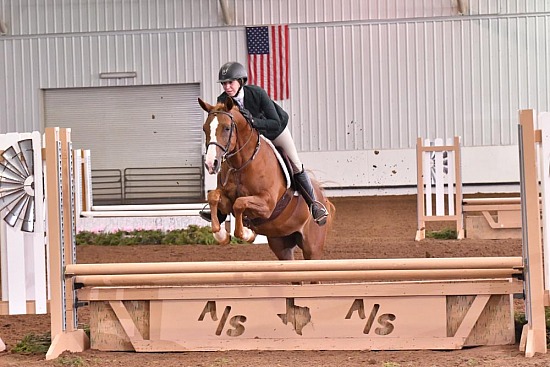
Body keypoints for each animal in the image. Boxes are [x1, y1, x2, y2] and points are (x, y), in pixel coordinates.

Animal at [201, 96, 334, 260]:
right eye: (205, 129)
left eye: (226, 128)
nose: (210, 164)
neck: (242, 164)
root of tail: (323, 199)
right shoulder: (226, 197)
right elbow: (214, 197)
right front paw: (221, 235)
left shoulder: (267, 204)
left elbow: (239, 203)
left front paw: (247, 233)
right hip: (281, 243)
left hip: (312, 248)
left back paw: (318, 211)